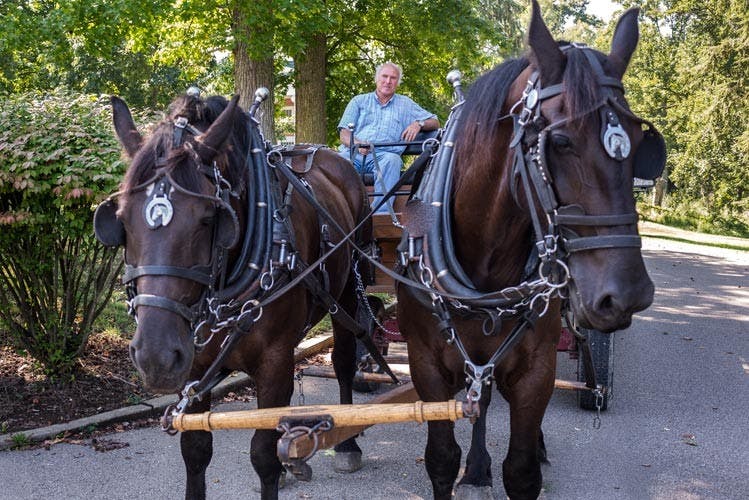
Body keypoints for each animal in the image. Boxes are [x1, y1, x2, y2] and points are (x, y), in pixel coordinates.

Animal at [94, 92, 373, 499]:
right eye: (121, 220)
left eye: (210, 218)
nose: (155, 356)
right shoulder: (194, 364)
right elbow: (195, 450)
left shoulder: (274, 362)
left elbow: (263, 454)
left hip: (348, 291)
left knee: (344, 359)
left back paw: (348, 444)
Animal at [397, 3, 661, 499]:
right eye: (559, 141)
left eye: (640, 144)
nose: (627, 294)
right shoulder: (426, 365)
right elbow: (441, 459)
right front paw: (464, 463)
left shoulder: (535, 369)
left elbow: (521, 471)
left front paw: (524, 453)